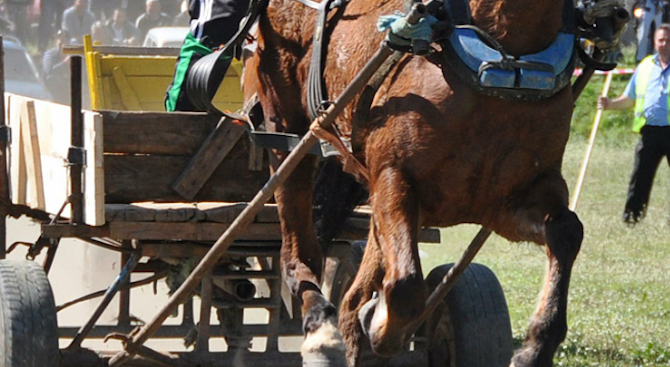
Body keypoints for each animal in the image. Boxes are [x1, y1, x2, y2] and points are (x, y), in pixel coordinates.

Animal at [248, 0, 588, 367]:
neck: (506, 55)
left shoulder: (509, 203)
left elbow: (566, 230)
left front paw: (534, 348)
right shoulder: (395, 177)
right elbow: (405, 286)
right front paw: (379, 323)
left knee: (352, 294)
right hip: (287, 134)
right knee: (299, 252)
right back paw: (321, 334)